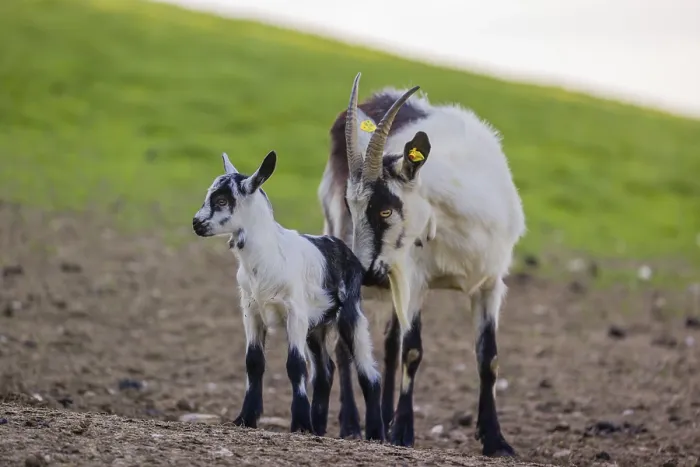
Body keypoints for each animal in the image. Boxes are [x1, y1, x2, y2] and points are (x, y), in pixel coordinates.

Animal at [193, 150, 384, 441]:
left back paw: (375, 435)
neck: (269, 255)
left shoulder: (294, 313)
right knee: (325, 373)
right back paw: (318, 428)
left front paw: (300, 423)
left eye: (222, 200)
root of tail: (349, 254)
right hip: (316, 327)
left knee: (368, 373)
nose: (196, 223)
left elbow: (295, 365)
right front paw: (246, 418)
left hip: (350, 316)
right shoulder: (251, 311)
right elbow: (253, 362)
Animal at [317, 73, 526, 456]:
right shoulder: (414, 278)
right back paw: (352, 424)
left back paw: (381, 419)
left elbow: (488, 357)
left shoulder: (491, 284)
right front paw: (402, 432)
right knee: (344, 338)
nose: (365, 273)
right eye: (353, 206)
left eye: (386, 210)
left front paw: (496, 441)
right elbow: (413, 350)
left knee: (389, 342)